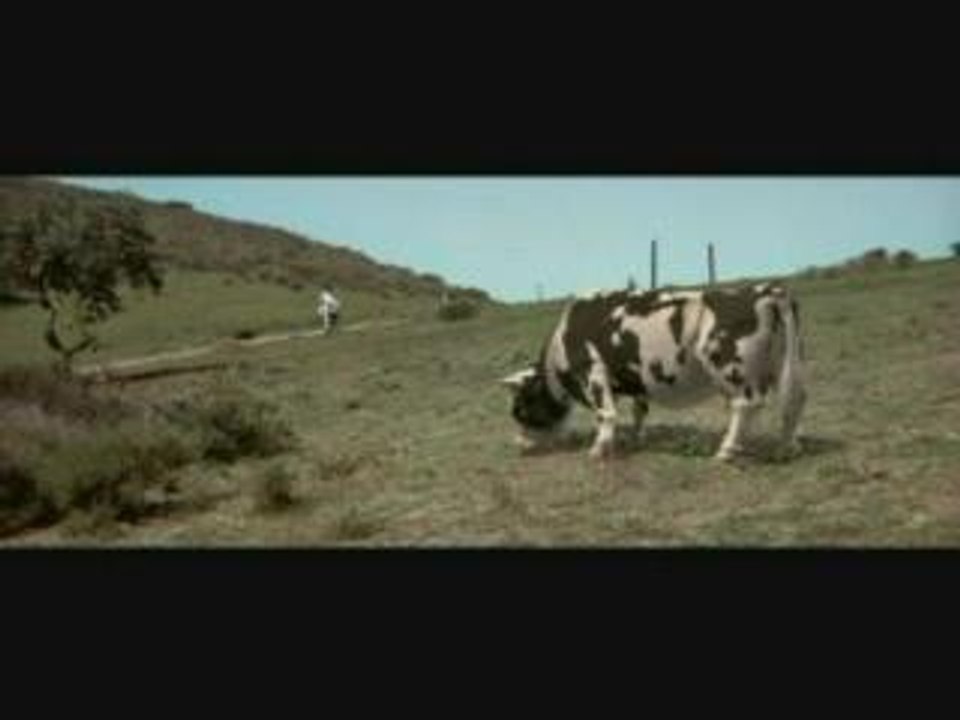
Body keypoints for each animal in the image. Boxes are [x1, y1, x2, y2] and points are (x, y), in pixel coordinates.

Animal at [499, 282, 806, 462]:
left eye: (520, 408)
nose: (517, 442)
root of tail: (765, 289)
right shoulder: (636, 380)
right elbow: (639, 411)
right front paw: (635, 440)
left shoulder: (592, 370)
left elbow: (605, 413)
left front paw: (599, 449)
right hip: (782, 364)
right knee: (795, 401)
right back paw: (787, 447)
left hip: (731, 367)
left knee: (746, 404)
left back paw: (726, 450)